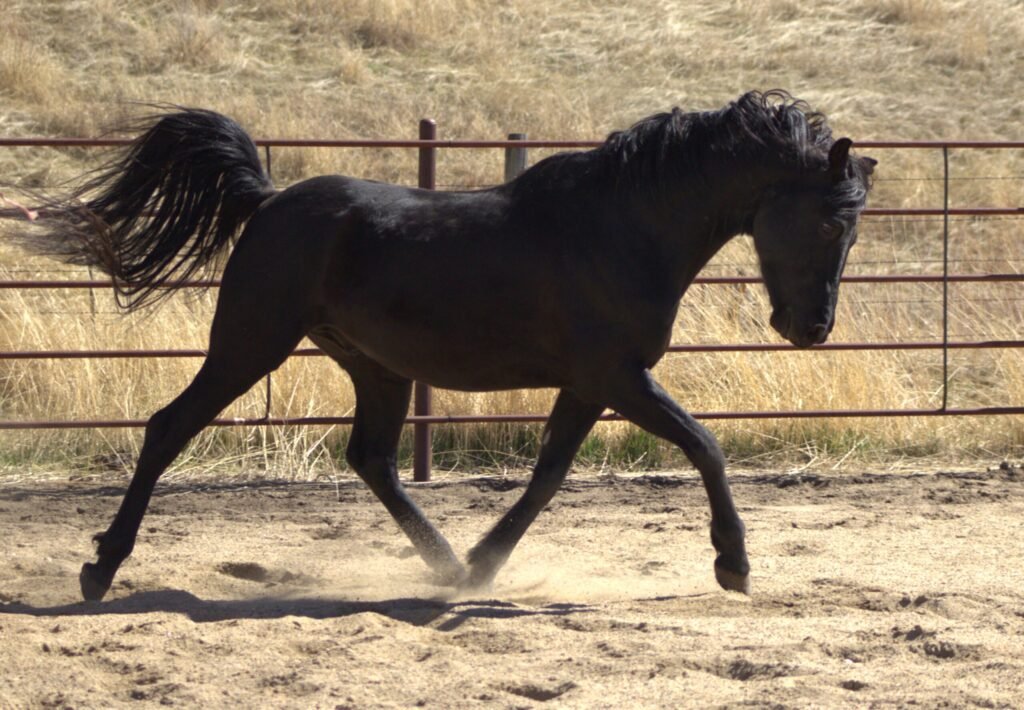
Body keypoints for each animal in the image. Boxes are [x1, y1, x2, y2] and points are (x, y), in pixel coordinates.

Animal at [21, 90, 875, 602]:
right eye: (832, 220)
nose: (812, 329)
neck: (624, 226)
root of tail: (268, 201)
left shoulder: (589, 384)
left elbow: (548, 475)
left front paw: (482, 565)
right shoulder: (618, 376)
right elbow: (705, 446)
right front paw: (734, 564)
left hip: (375, 366)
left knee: (371, 458)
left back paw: (443, 562)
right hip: (250, 342)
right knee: (169, 427)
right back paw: (99, 567)